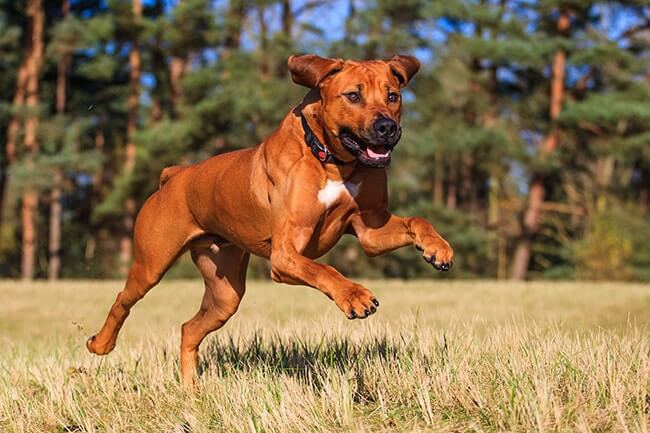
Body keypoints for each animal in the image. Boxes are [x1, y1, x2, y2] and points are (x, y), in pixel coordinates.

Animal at [85, 54, 450, 384]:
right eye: (353, 95)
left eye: (393, 96)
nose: (387, 127)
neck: (331, 159)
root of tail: (175, 176)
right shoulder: (285, 255)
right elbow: (324, 269)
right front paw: (354, 295)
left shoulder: (370, 228)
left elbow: (416, 221)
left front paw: (437, 247)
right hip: (151, 263)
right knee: (122, 300)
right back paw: (100, 344)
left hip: (225, 293)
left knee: (189, 329)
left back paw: (191, 391)